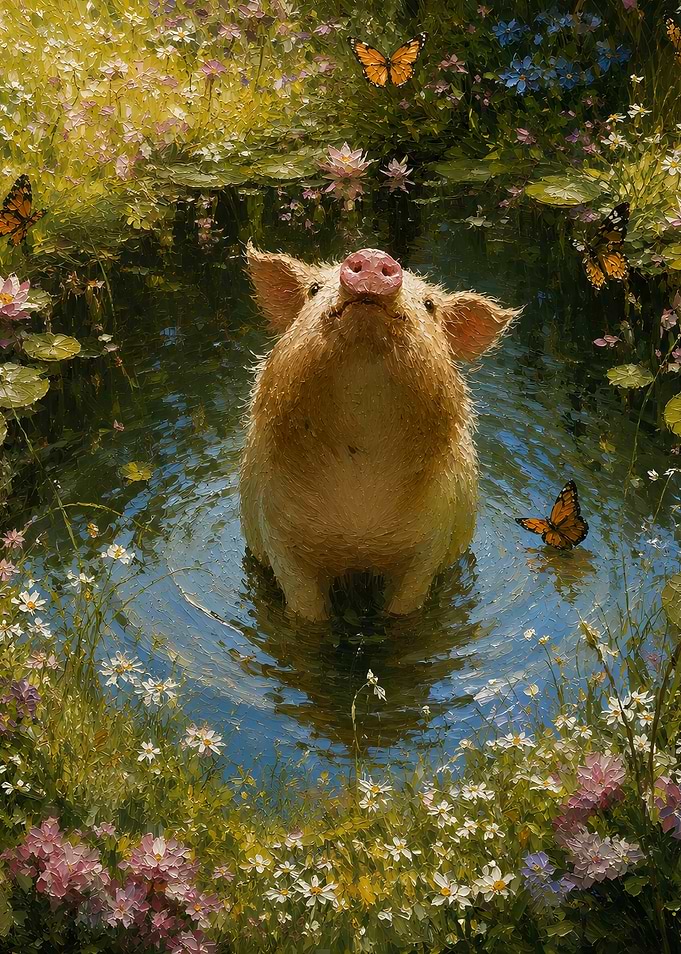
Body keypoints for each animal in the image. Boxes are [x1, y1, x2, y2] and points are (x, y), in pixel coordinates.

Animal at [241, 244, 518, 622]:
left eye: (429, 305)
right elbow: (306, 606)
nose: (373, 256)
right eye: (313, 289)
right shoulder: (278, 534)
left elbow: (405, 604)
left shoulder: (431, 541)